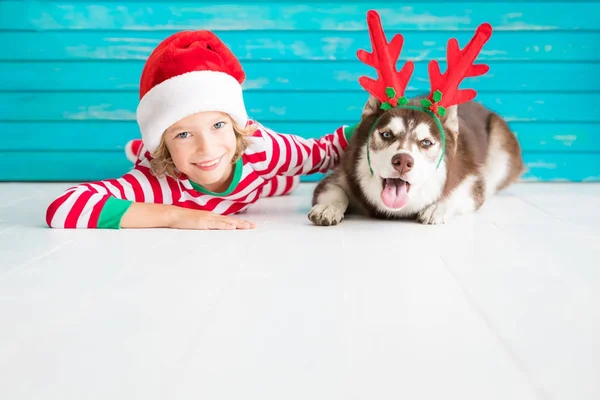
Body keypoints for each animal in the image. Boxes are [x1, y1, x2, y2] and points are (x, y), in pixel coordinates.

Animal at [308, 10, 524, 227]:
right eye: (386, 134)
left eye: (426, 142)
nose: (403, 161)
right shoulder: (343, 174)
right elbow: (333, 189)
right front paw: (328, 206)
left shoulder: (470, 180)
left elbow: (463, 192)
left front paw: (437, 206)